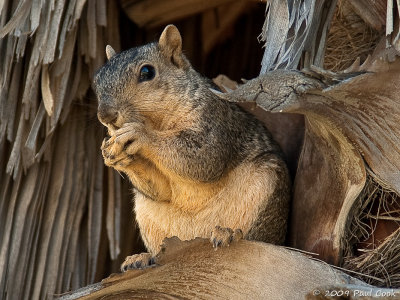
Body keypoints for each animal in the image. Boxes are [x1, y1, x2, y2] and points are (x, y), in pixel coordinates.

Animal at [94, 24, 290, 270]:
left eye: (147, 72)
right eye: (96, 81)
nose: (106, 116)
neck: (158, 122)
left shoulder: (214, 121)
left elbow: (202, 158)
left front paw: (139, 135)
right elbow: (161, 190)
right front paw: (116, 156)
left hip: (265, 185)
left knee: (260, 238)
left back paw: (231, 234)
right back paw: (143, 258)